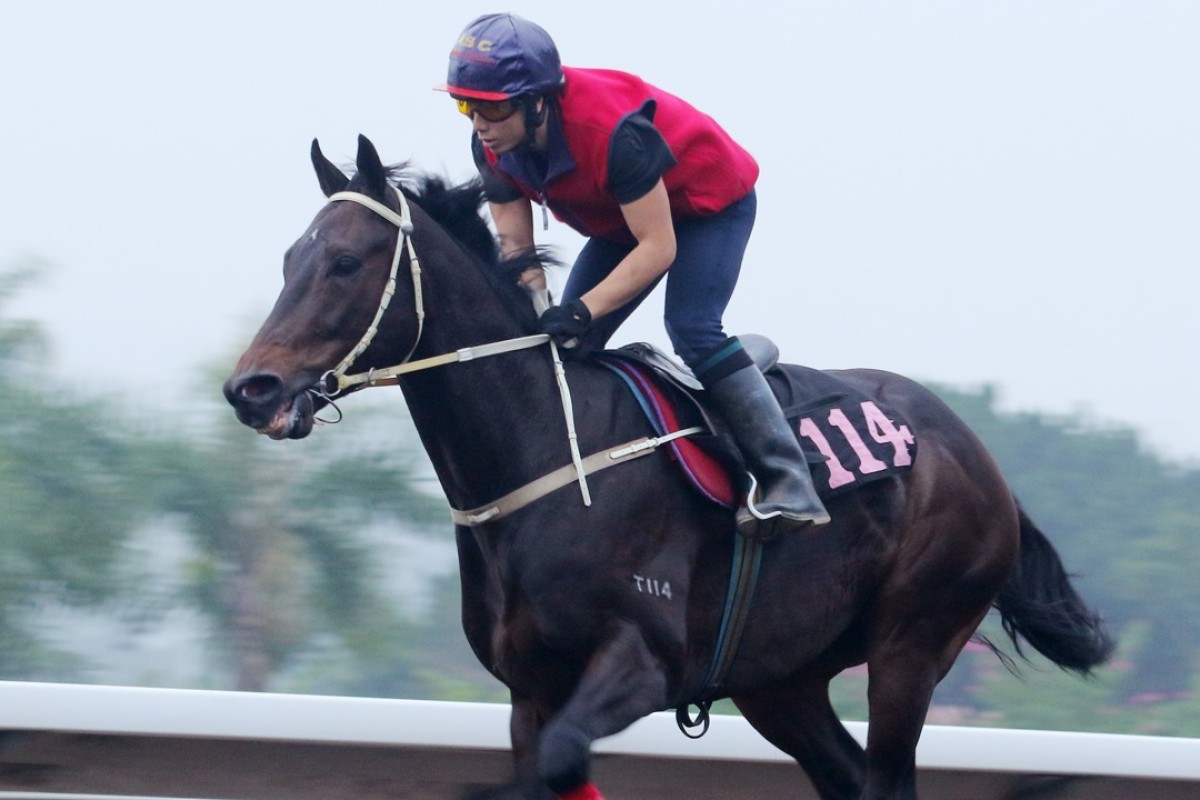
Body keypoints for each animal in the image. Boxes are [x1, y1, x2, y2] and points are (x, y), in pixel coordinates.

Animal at [226, 137, 1113, 800]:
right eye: (289, 259)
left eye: (345, 262)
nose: (251, 388)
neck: (544, 449)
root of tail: (975, 452)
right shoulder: (530, 691)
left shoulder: (642, 664)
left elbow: (561, 762)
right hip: (782, 682)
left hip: (912, 644)